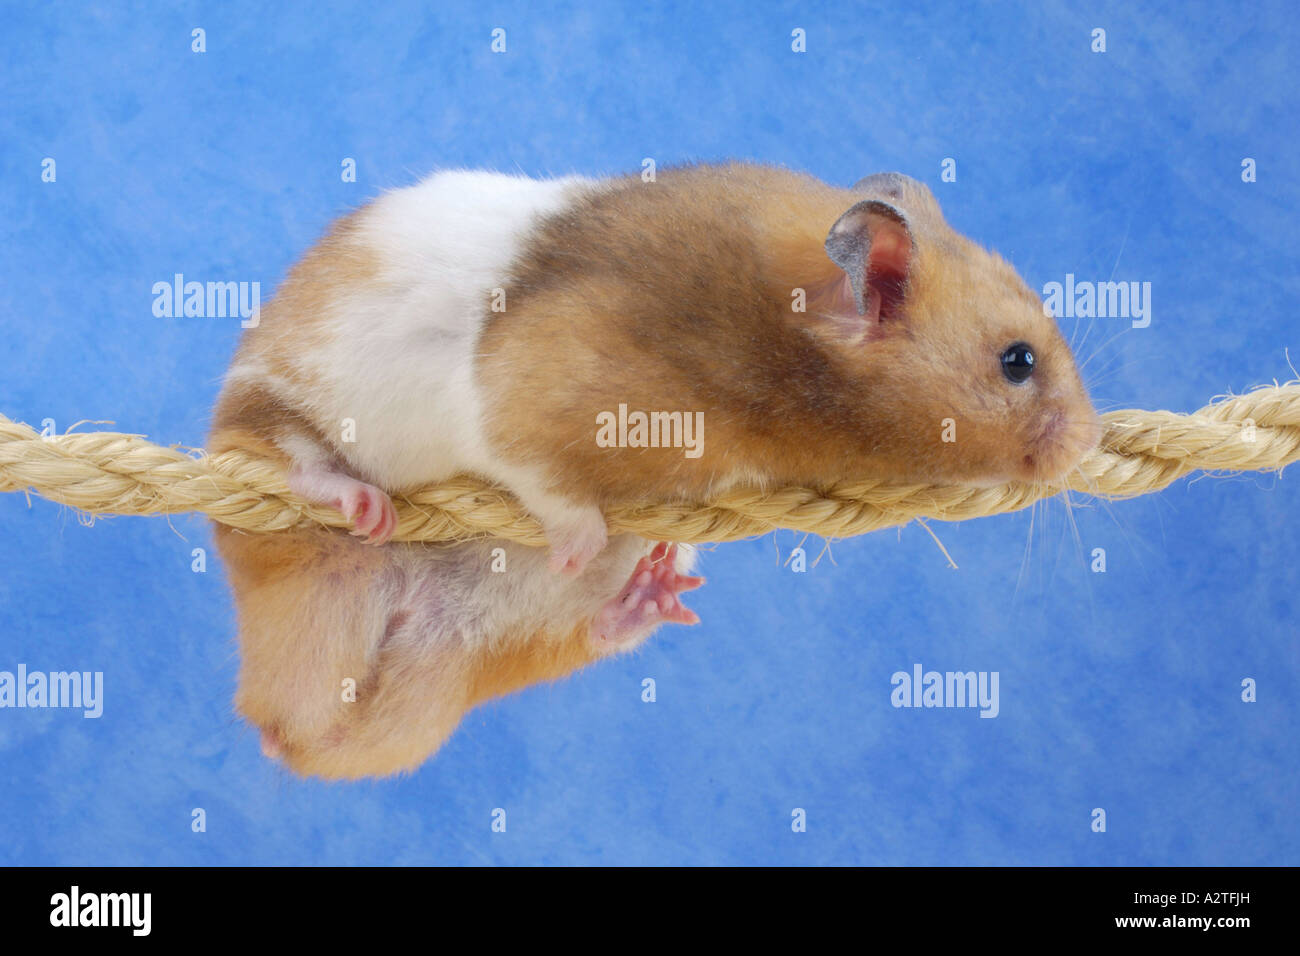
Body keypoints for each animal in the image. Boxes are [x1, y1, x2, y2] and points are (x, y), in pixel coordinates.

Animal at [208, 162, 1100, 779]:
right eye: (1018, 362)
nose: (1089, 443)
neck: (775, 346)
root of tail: (287, 718)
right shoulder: (528, 394)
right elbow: (542, 476)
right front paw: (574, 538)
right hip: (267, 415)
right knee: (270, 448)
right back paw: (360, 504)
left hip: (480, 637)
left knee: (570, 628)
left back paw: (652, 593)